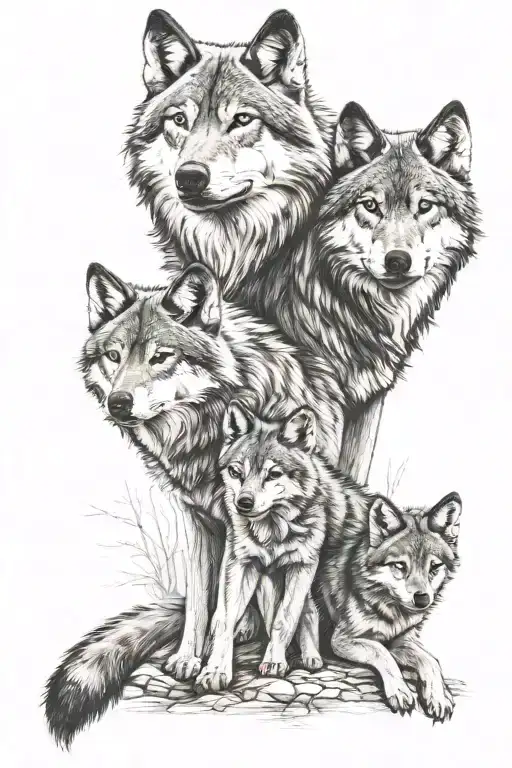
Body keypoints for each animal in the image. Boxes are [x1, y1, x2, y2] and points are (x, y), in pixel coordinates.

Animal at [196, 402, 326, 693]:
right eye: (236, 473)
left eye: (273, 474)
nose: (243, 503)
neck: (271, 532)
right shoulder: (239, 564)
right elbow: (225, 619)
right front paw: (216, 670)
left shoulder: (303, 566)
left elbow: (285, 618)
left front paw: (275, 661)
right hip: (264, 580)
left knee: (307, 611)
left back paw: (310, 656)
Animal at [319, 490, 461, 722]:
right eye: (400, 566)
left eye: (434, 567)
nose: (422, 599)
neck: (391, 610)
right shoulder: (341, 640)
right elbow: (381, 652)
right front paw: (400, 691)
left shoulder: (401, 640)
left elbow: (431, 661)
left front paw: (438, 697)